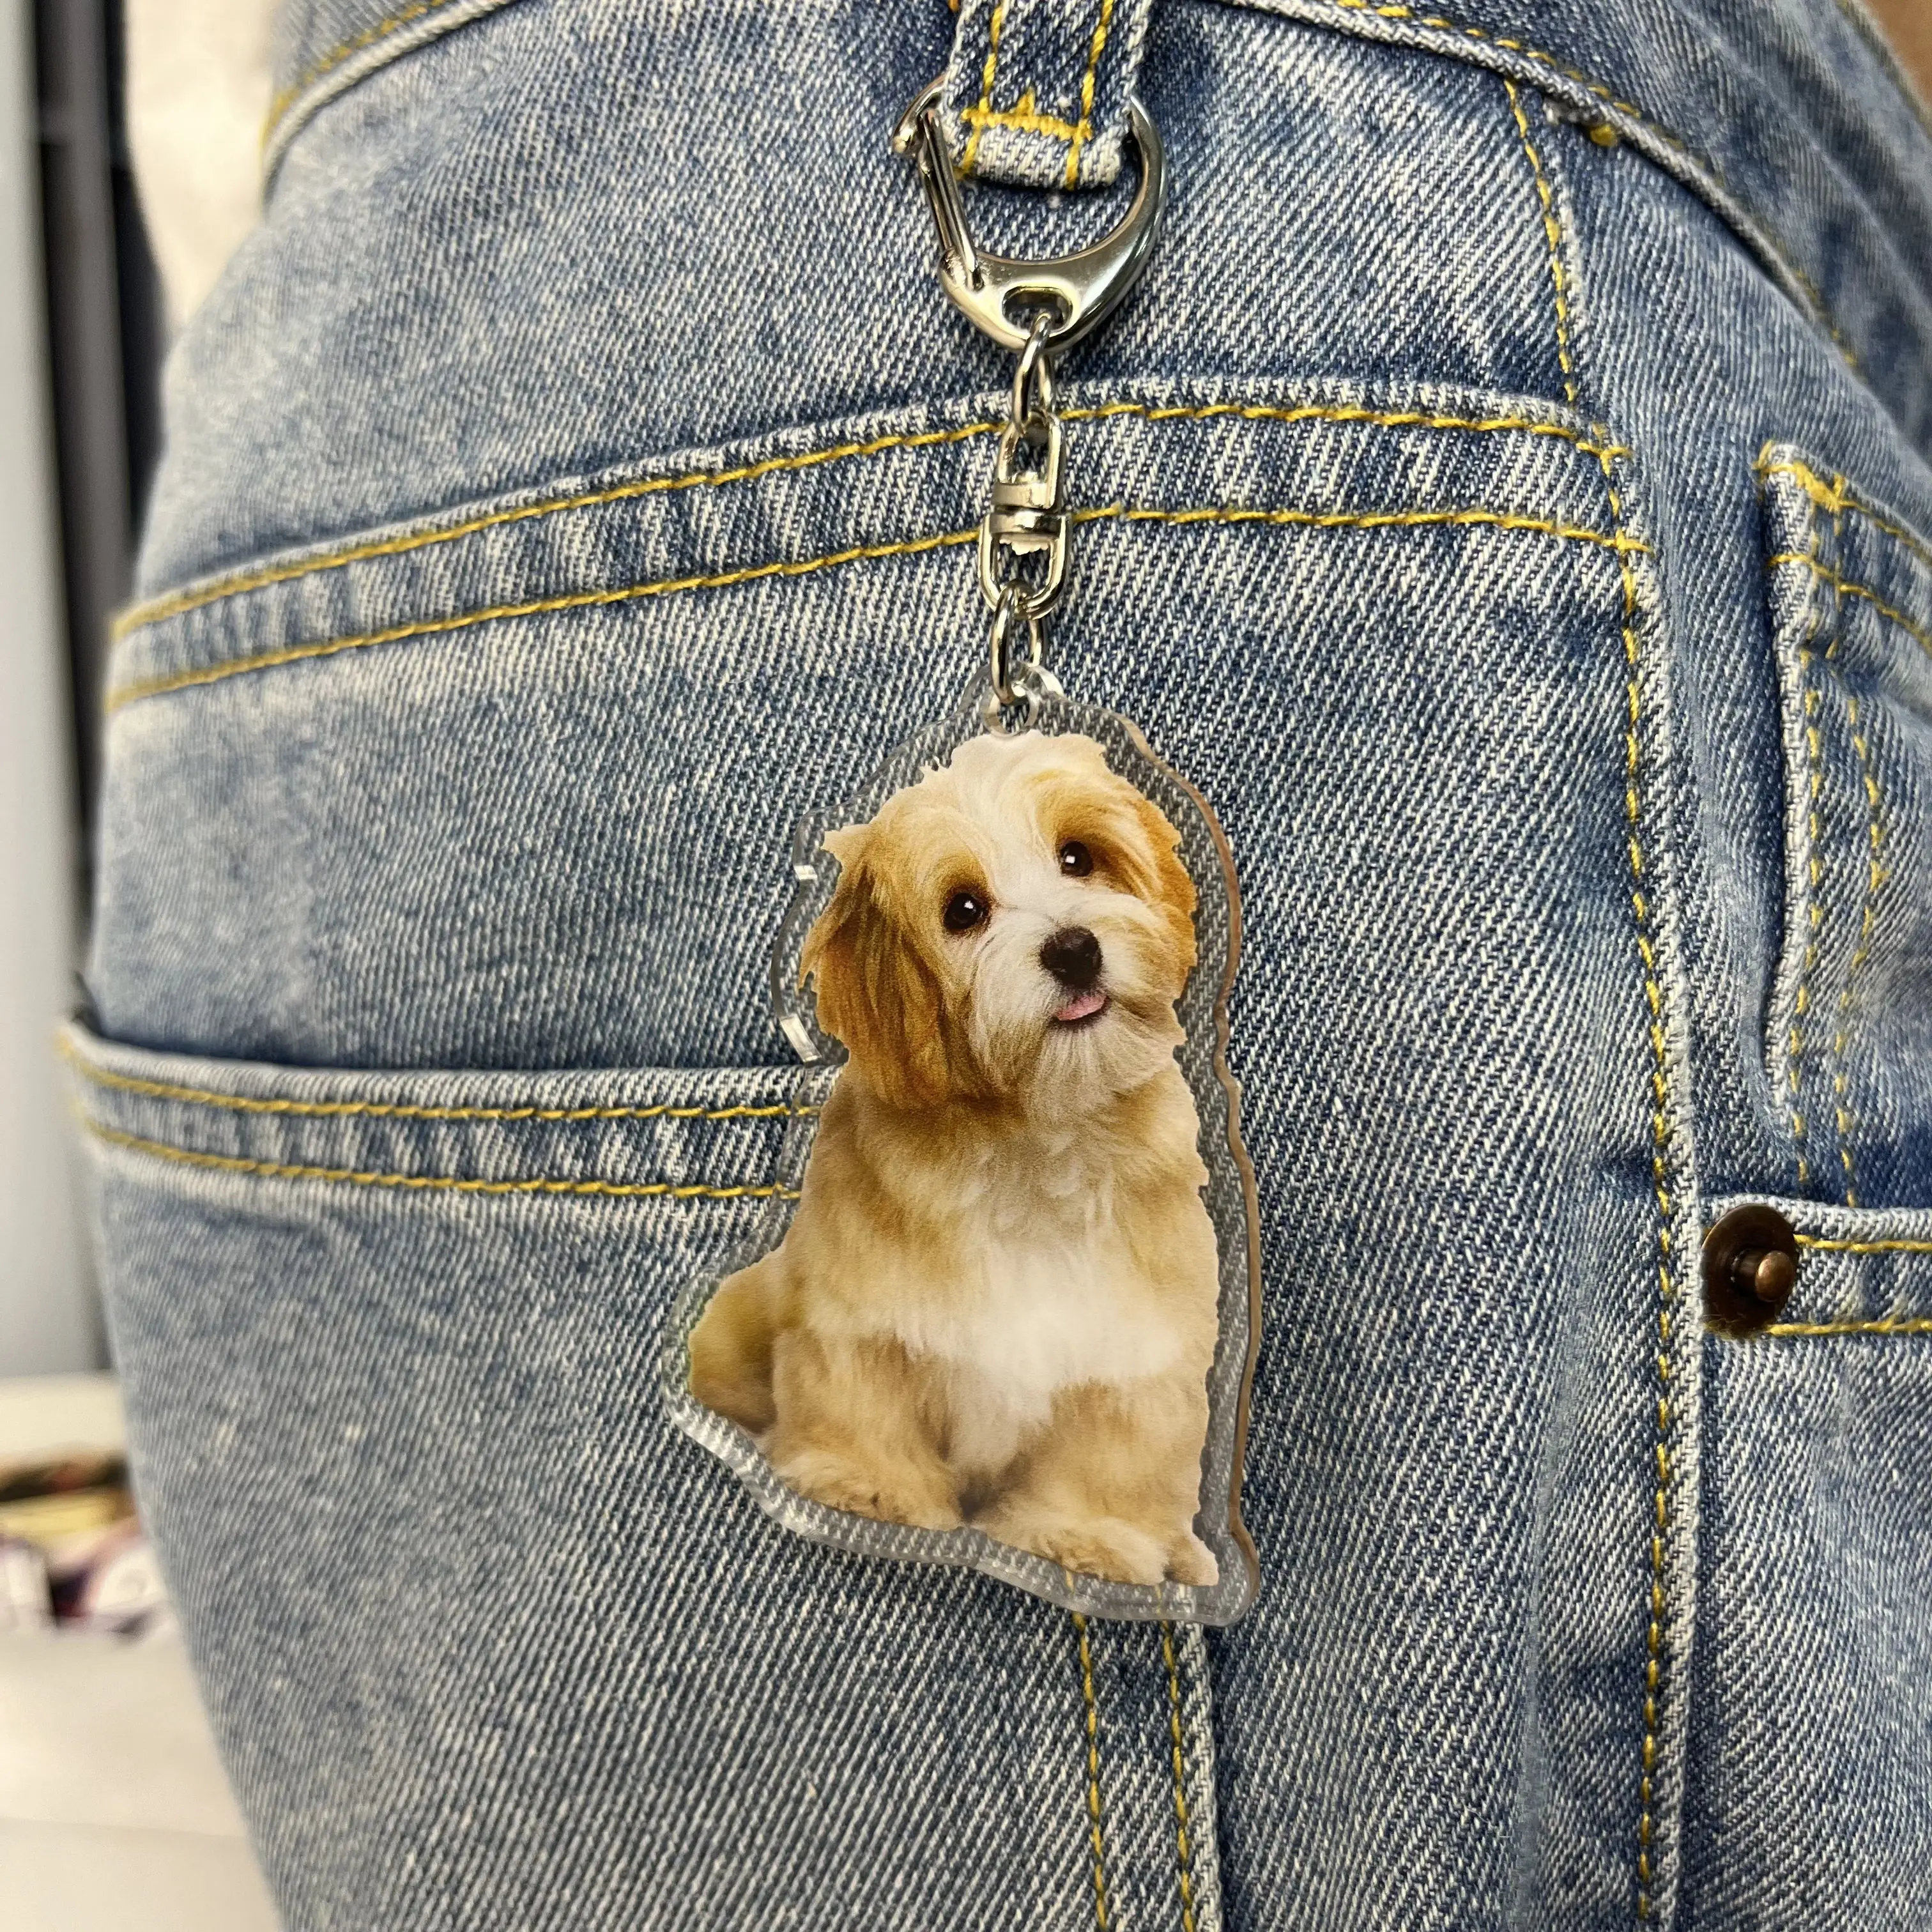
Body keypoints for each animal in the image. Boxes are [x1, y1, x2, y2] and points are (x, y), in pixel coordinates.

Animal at [687, 726, 1213, 1584]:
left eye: (1078, 857)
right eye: (963, 911)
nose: (1074, 949)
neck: (1034, 1136)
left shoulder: (1136, 1346)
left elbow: (1111, 1449)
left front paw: (1086, 1534)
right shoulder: (861, 1313)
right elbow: (861, 1394)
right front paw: (869, 1486)